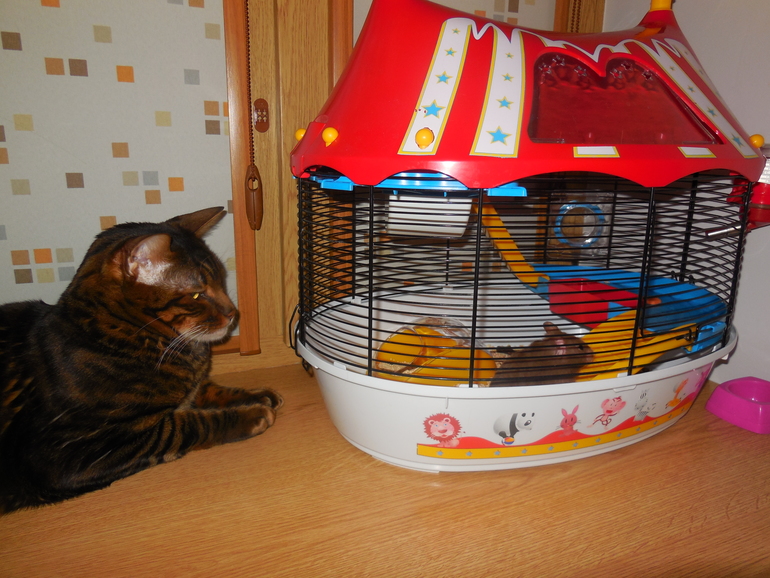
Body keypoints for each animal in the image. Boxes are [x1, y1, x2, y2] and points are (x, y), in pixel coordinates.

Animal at [0, 207, 282, 514]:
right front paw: (252, 414)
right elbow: (183, 425)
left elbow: (210, 389)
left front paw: (258, 394)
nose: (233, 313)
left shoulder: (192, 386)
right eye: (197, 293)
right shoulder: (67, 454)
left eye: (222, 280)